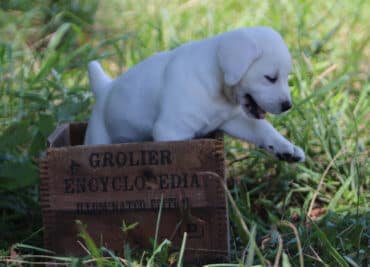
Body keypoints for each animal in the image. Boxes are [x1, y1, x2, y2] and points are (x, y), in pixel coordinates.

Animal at [85, 27, 304, 162]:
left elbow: (263, 129)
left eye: (286, 77)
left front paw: (287, 149)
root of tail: (105, 88)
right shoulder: (171, 131)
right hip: (97, 137)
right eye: (270, 78)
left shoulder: (233, 120)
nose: (288, 106)